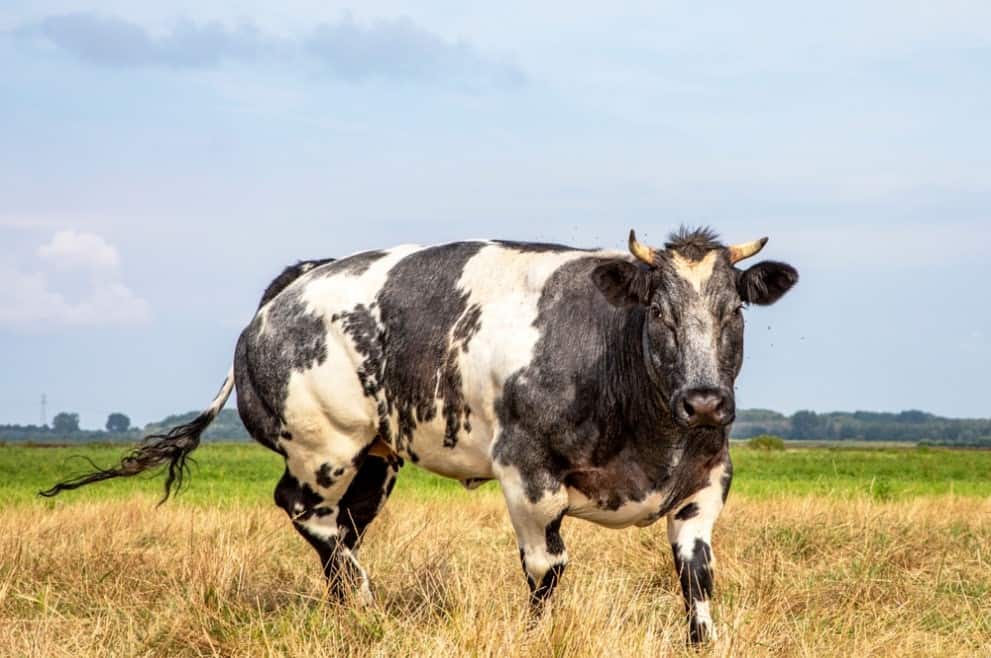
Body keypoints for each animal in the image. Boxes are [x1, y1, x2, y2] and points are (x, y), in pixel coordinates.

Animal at [42, 227, 798, 644]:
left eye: (733, 311)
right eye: (659, 312)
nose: (704, 401)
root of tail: (296, 283)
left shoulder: (704, 482)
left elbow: (696, 575)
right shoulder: (526, 475)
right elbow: (545, 570)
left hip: (376, 461)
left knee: (343, 527)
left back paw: (349, 613)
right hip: (322, 448)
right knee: (306, 512)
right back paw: (364, 607)